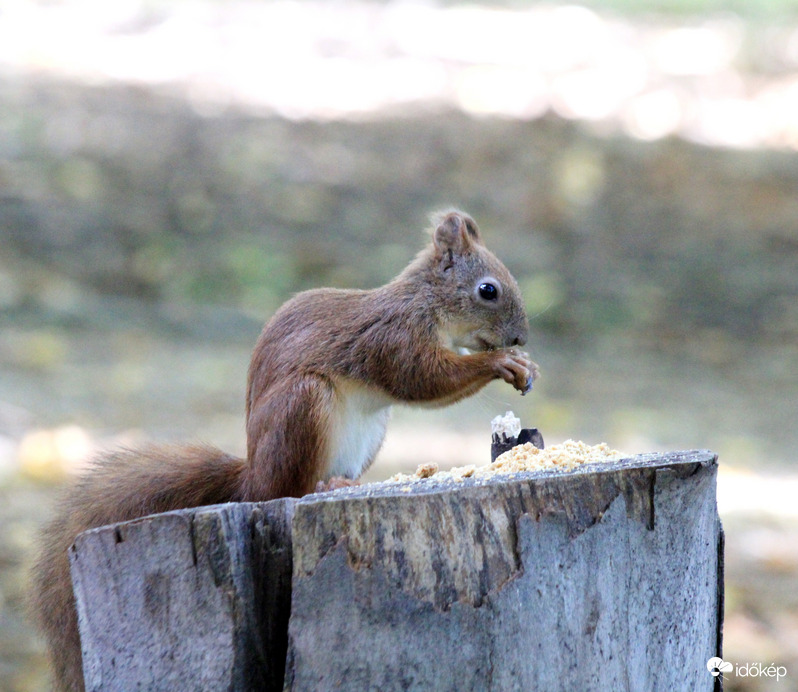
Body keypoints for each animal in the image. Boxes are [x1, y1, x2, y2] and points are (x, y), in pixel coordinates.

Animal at [34, 209, 540, 688]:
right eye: (488, 290)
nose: (520, 338)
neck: (425, 302)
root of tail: (250, 479)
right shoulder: (393, 338)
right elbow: (423, 378)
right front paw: (502, 362)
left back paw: (345, 482)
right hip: (303, 406)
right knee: (286, 489)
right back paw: (323, 487)